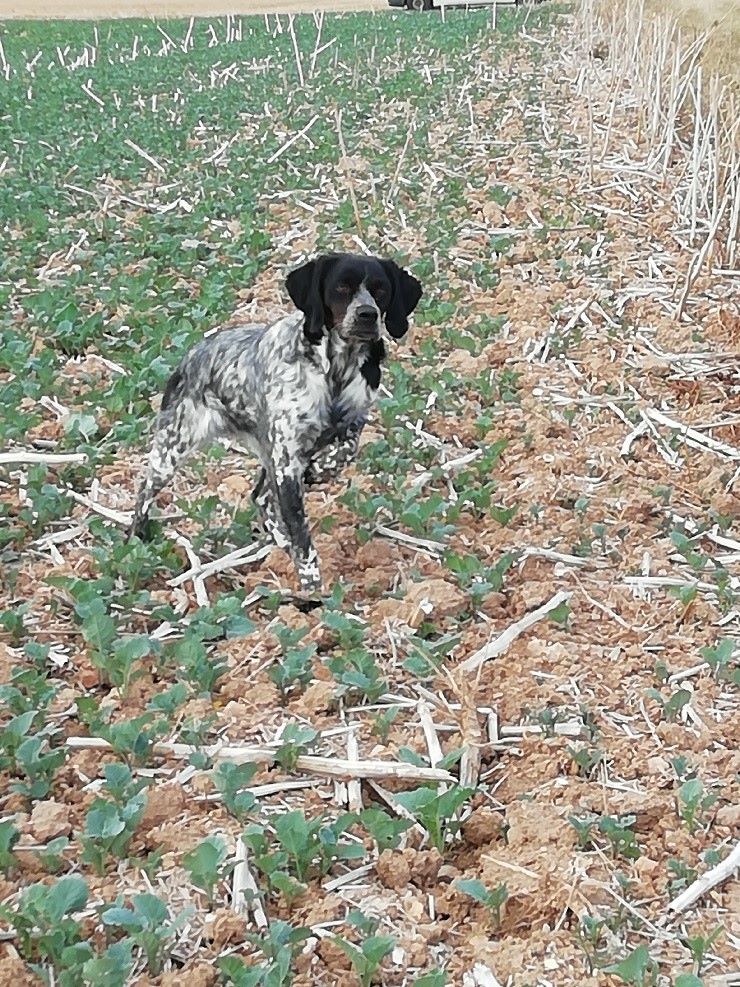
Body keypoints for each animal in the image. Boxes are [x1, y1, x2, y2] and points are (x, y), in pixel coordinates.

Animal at [129, 255, 422, 596]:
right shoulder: (286, 459)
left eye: (381, 290)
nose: (367, 314)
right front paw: (312, 590)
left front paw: (321, 469)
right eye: (341, 287)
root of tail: (192, 353)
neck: (336, 369)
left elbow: (346, 448)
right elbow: (303, 538)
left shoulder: (349, 424)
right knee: (144, 494)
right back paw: (136, 543)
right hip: (172, 448)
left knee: (261, 496)